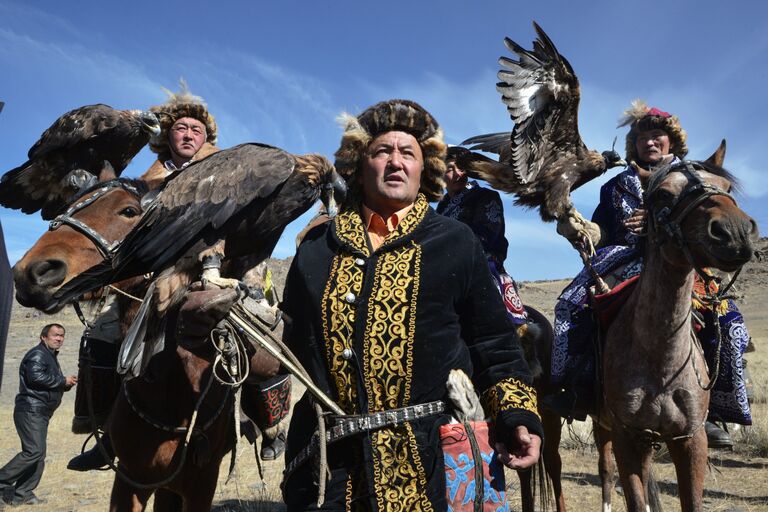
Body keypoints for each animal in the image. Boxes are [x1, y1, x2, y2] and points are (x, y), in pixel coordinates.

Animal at [524, 146, 760, 510]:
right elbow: (634, 495)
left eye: (727, 188)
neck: (660, 358)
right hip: (595, 424)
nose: (734, 232)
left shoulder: (690, 439)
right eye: (662, 194)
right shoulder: (629, 436)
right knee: (595, 468)